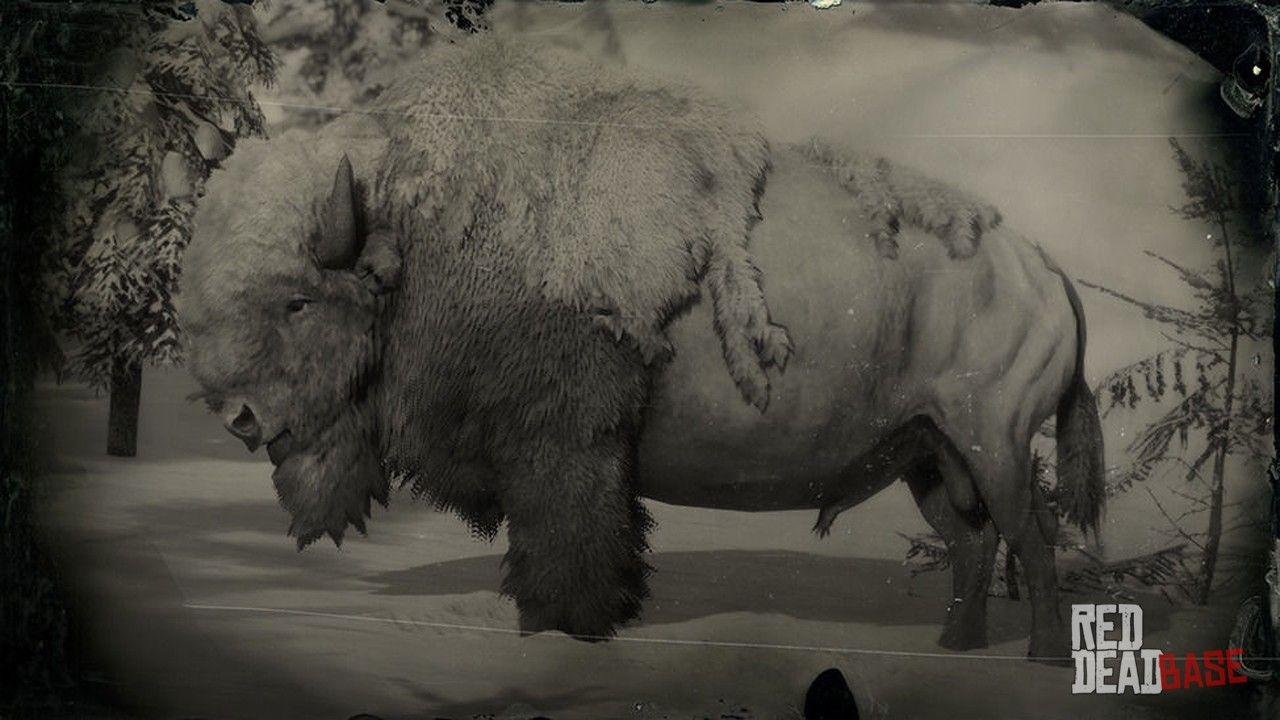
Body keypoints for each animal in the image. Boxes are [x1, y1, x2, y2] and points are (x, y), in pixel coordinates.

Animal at [179, 38, 1103, 661]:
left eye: (296, 299)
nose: (239, 418)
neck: (414, 231)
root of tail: (1042, 266)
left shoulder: (565, 450)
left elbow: (570, 552)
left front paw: (562, 631)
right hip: (924, 453)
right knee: (976, 542)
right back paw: (955, 647)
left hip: (994, 441)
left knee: (1032, 536)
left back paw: (1041, 657)